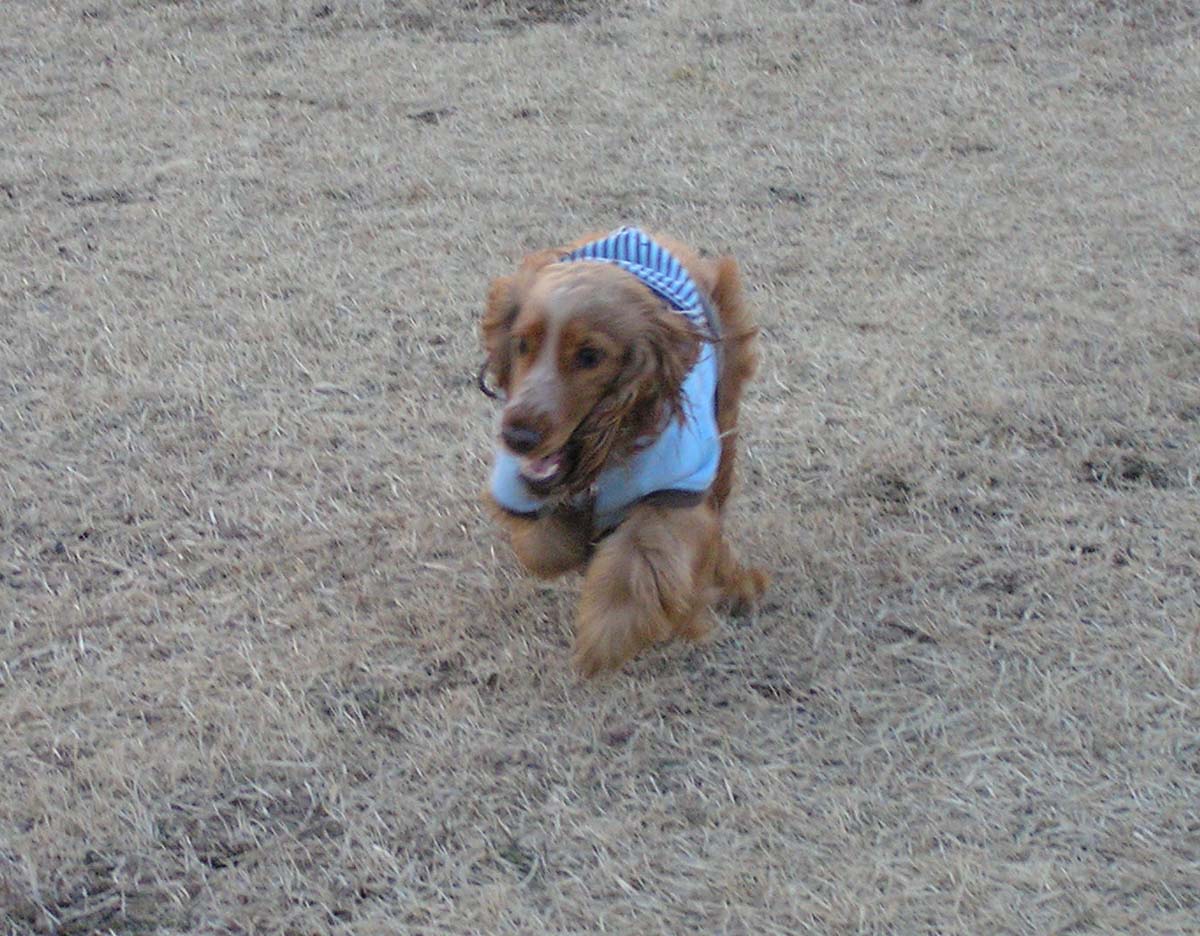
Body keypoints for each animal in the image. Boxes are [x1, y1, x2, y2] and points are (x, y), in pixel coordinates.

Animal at [479, 227, 766, 676]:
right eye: (522, 344)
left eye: (590, 356)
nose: (518, 436)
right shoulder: (521, 486)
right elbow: (547, 547)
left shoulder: (675, 489)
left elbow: (640, 562)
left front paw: (605, 642)